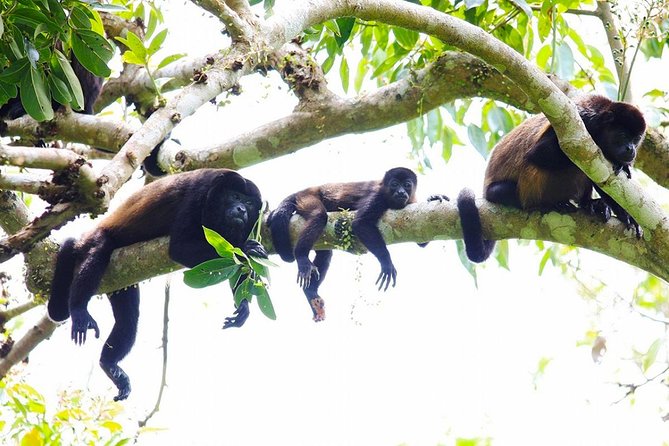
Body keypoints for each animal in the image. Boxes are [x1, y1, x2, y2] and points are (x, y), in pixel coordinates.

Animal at [46, 167, 266, 400]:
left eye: (249, 203)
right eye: (235, 197)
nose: (241, 209)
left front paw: (243, 305)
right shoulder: (198, 195)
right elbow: (180, 247)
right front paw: (244, 249)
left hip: (121, 281)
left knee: (128, 320)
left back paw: (109, 364)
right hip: (94, 238)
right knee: (98, 250)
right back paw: (79, 309)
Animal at [270, 166, 434, 320]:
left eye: (407, 185)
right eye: (394, 184)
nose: (401, 192)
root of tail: (306, 189)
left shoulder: (412, 201)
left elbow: (422, 240)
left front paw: (434, 198)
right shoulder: (377, 197)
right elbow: (360, 223)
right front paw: (387, 263)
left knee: (326, 254)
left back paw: (311, 292)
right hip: (307, 197)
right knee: (318, 216)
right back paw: (302, 257)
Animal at [456, 94, 644, 262]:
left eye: (636, 139)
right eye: (622, 135)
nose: (631, 149)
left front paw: (627, 217)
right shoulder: (585, 122)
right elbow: (540, 152)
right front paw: (613, 158)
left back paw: (590, 204)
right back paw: (547, 204)